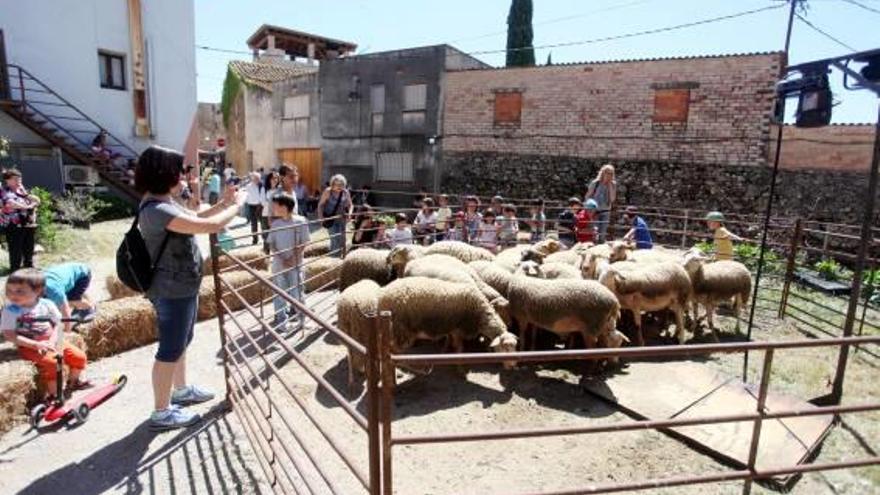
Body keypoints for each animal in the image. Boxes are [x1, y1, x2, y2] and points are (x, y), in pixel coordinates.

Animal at [376, 280, 516, 368]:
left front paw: (444, 352)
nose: (514, 365)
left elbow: (450, 342)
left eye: (515, 347)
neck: (479, 314)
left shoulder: (451, 329)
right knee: (391, 348)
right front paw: (460, 367)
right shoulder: (458, 330)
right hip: (400, 328)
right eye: (505, 348)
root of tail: (381, 295)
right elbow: (459, 349)